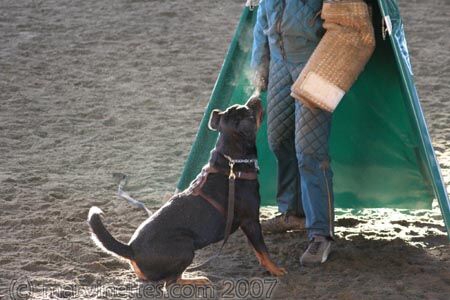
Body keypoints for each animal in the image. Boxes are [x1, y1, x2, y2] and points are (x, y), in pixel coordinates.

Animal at [87, 97, 284, 284]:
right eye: (249, 112)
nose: (255, 99)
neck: (232, 162)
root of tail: (131, 249)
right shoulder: (251, 220)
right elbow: (263, 250)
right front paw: (277, 270)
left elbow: (258, 252)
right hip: (186, 247)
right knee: (171, 281)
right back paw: (196, 279)